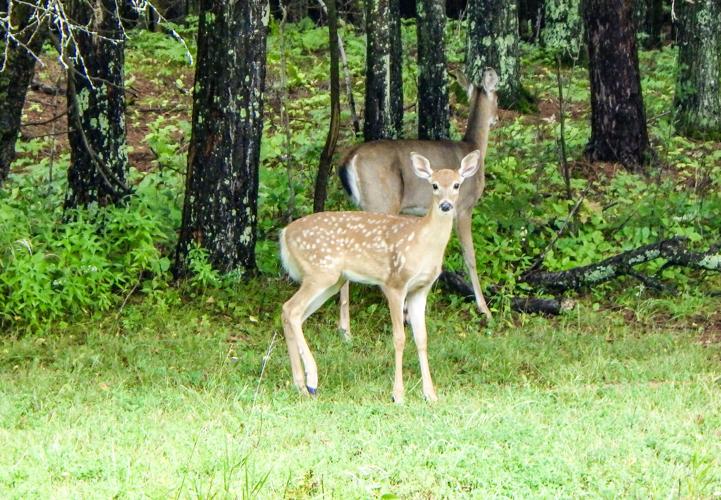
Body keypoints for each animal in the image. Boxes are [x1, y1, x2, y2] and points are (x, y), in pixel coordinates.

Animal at [280, 150, 481, 403]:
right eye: (434, 185)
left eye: (456, 184)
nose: (446, 205)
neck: (422, 242)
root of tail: (284, 234)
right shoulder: (394, 282)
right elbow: (399, 338)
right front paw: (398, 395)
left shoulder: (420, 289)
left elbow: (422, 338)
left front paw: (430, 395)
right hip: (320, 271)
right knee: (291, 309)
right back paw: (311, 379)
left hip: (331, 281)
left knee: (292, 314)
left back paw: (300, 385)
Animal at [337, 68, 499, 338]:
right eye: (497, 96)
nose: (497, 117)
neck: (474, 148)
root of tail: (350, 158)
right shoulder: (464, 208)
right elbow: (470, 257)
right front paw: (484, 309)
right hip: (382, 203)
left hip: (365, 207)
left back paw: (348, 327)